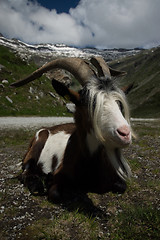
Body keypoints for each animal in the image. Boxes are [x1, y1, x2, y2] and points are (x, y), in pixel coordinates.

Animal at [11, 56, 133, 202]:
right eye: (88, 102)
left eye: (118, 103)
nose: (124, 134)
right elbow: (55, 194)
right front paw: (47, 182)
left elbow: (122, 186)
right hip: (37, 144)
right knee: (25, 171)